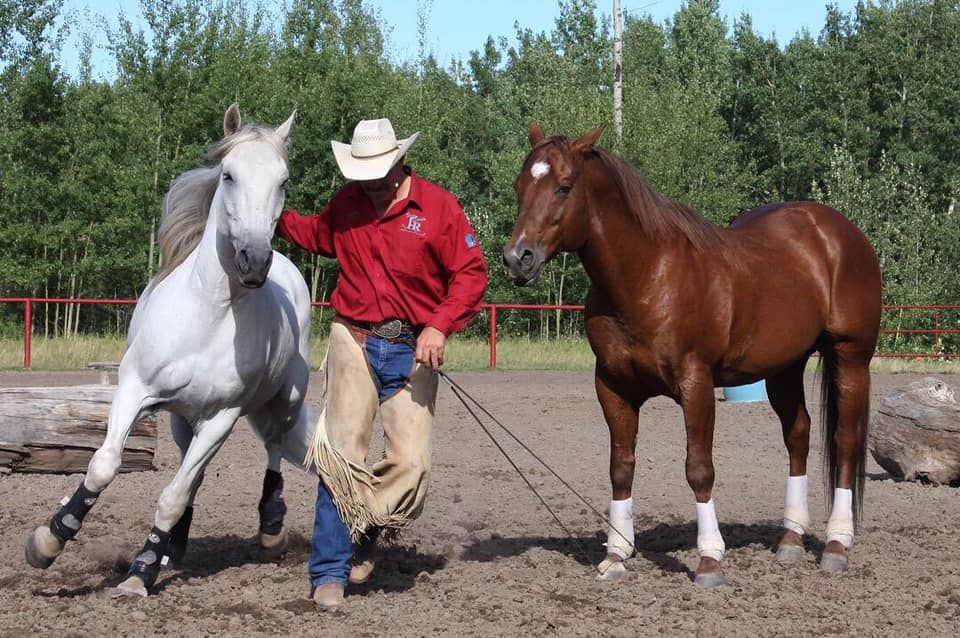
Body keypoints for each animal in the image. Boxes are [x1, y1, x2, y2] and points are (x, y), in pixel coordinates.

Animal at [25, 105, 318, 600]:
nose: (254, 260)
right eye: (228, 174)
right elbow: (104, 466)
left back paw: (269, 530)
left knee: (273, 446)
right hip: (184, 419)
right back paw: (174, 546)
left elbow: (172, 495)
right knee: (191, 468)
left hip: (284, 400)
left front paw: (140, 572)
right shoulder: (134, 390)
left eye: (283, 181)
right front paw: (49, 540)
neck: (210, 312)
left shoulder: (223, 417)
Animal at [506, 125, 880, 592]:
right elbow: (620, 467)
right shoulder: (612, 388)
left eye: (563, 186)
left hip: (851, 357)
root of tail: (837, 232)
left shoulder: (696, 384)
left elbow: (699, 469)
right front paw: (616, 555)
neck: (647, 276)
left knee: (845, 441)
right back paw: (791, 540)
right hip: (783, 369)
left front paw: (709, 560)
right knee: (798, 435)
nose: (517, 258)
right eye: (520, 186)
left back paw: (836, 544)